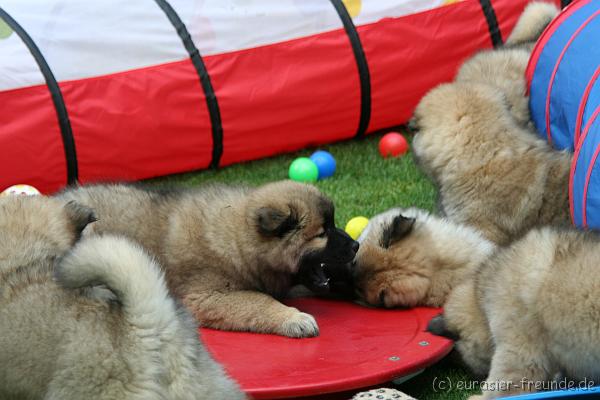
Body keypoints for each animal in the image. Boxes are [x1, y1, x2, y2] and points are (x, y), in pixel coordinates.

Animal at [58, 181, 358, 338]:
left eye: (334, 224)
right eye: (322, 233)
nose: (355, 246)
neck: (238, 236)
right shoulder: (208, 296)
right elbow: (259, 301)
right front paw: (294, 318)